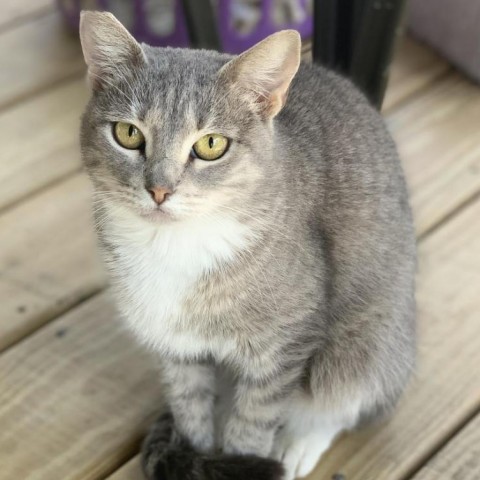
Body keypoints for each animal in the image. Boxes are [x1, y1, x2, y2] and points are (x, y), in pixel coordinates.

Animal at [79, 11, 416, 480]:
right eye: (128, 133)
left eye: (211, 144)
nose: (159, 190)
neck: (172, 245)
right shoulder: (173, 344)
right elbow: (190, 406)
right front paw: (199, 452)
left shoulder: (283, 344)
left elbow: (254, 420)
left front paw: (246, 455)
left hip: (365, 344)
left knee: (344, 397)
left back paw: (301, 442)